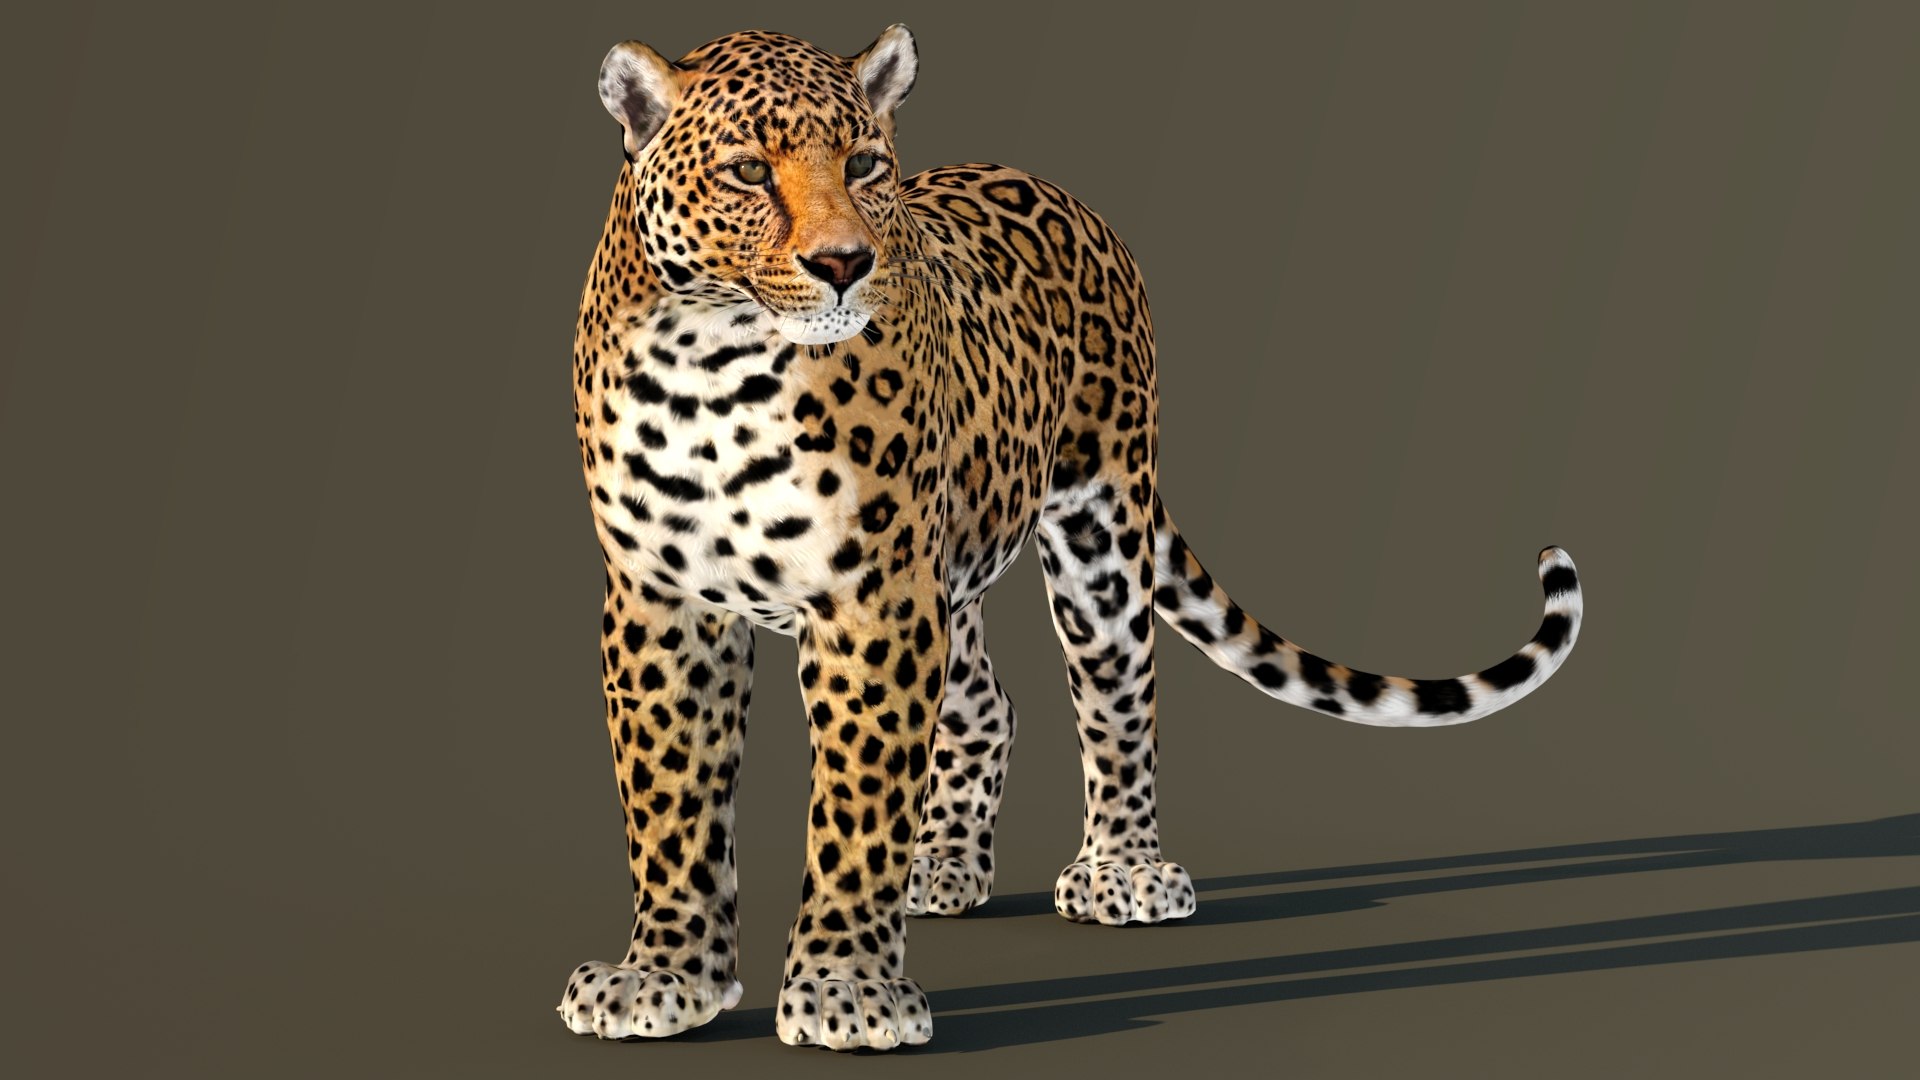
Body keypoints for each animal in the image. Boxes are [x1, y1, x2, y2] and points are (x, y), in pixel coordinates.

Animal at [557, 25, 1584, 1051]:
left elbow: (858, 802)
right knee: (987, 704)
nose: (845, 263)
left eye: (865, 166)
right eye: (745, 172)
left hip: (1096, 532)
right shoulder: (662, 598)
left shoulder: (873, 599)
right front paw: (664, 975)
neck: (714, 368)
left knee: (1119, 700)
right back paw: (944, 867)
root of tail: (1063, 194)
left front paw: (846, 988)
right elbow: (670, 801)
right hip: (952, 568)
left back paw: (1122, 872)